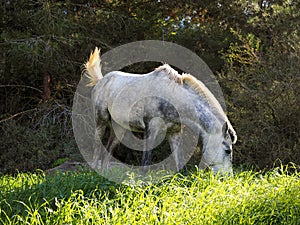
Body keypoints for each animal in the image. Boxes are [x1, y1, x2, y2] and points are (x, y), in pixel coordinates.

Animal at [84, 47, 237, 174]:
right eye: (227, 150)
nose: (227, 177)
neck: (174, 97)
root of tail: (101, 81)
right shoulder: (151, 130)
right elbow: (145, 163)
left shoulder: (174, 132)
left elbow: (179, 163)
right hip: (101, 121)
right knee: (97, 149)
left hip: (120, 128)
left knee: (108, 151)